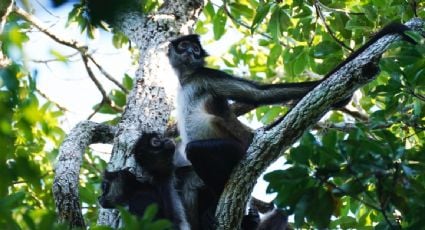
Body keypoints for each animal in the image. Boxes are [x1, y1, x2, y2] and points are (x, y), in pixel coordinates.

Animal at [167, 22, 416, 228]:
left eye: (196, 50)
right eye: (184, 46)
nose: (189, 52)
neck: (187, 79)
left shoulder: (205, 76)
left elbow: (259, 94)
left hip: (239, 150)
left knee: (196, 150)